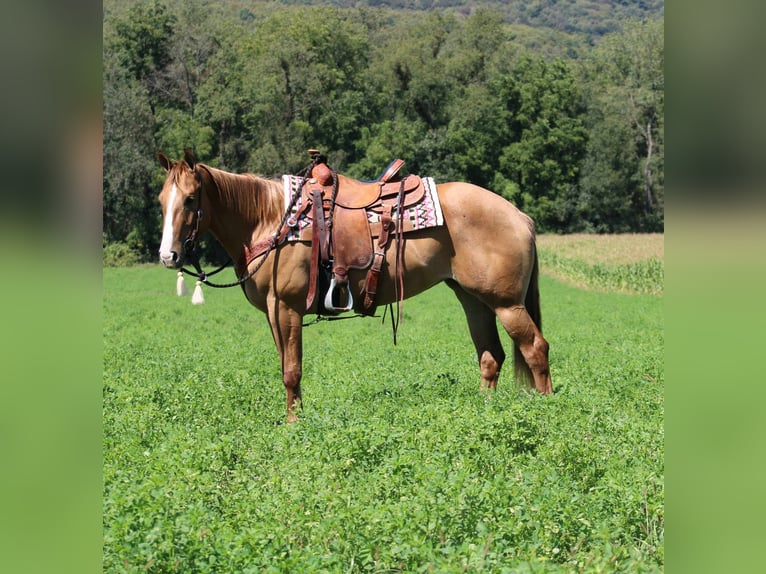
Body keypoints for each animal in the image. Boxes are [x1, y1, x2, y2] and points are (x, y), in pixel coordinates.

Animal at [158, 151, 552, 426]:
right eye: (162, 201)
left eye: (191, 199)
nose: (168, 256)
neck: (270, 221)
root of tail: (519, 215)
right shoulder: (273, 311)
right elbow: (286, 366)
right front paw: (293, 416)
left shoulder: (286, 307)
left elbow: (292, 370)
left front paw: (294, 423)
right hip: (473, 299)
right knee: (491, 356)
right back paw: (485, 410)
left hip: (507, 304)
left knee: (535, 349)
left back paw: (546, 408)